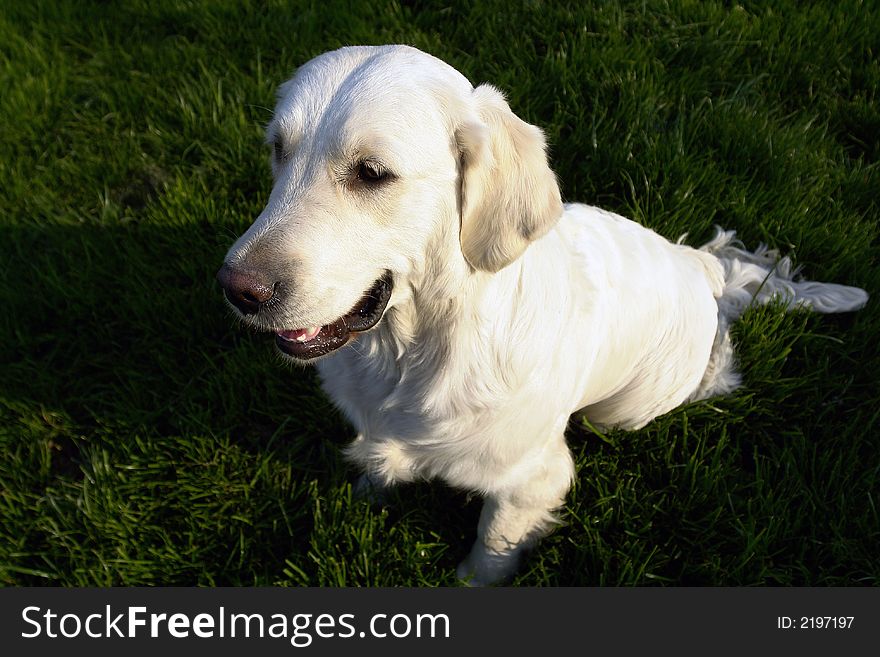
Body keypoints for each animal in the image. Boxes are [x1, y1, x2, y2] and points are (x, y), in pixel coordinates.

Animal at [218, 46, 868, 584]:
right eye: (277, 148)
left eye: (372, 172)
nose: (235, 290)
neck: (413, 351)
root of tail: (700, 268)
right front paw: (366, 493)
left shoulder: (534, 480)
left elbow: (490, 549)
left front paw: (474, 578)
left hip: (626, 409)